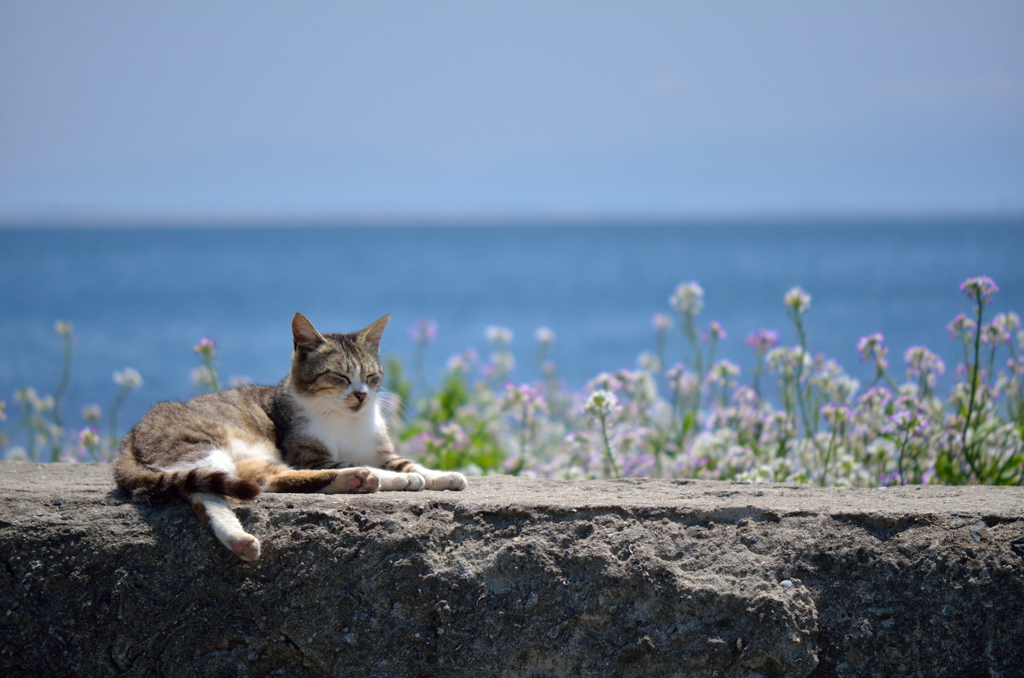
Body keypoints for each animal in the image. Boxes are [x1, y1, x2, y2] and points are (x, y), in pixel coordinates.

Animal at [114, 313, 466, 561]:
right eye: (339, 376)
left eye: (370, 376)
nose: (361, 395)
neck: (346, 421)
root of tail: (131, 433)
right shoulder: (308, 455)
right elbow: (353, 463)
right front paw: (399, 479)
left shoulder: (382, 452)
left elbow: (409, 464)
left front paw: (441, 475)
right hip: (202, 446)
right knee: (212, 491)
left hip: (252, 457)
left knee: (264, 479)